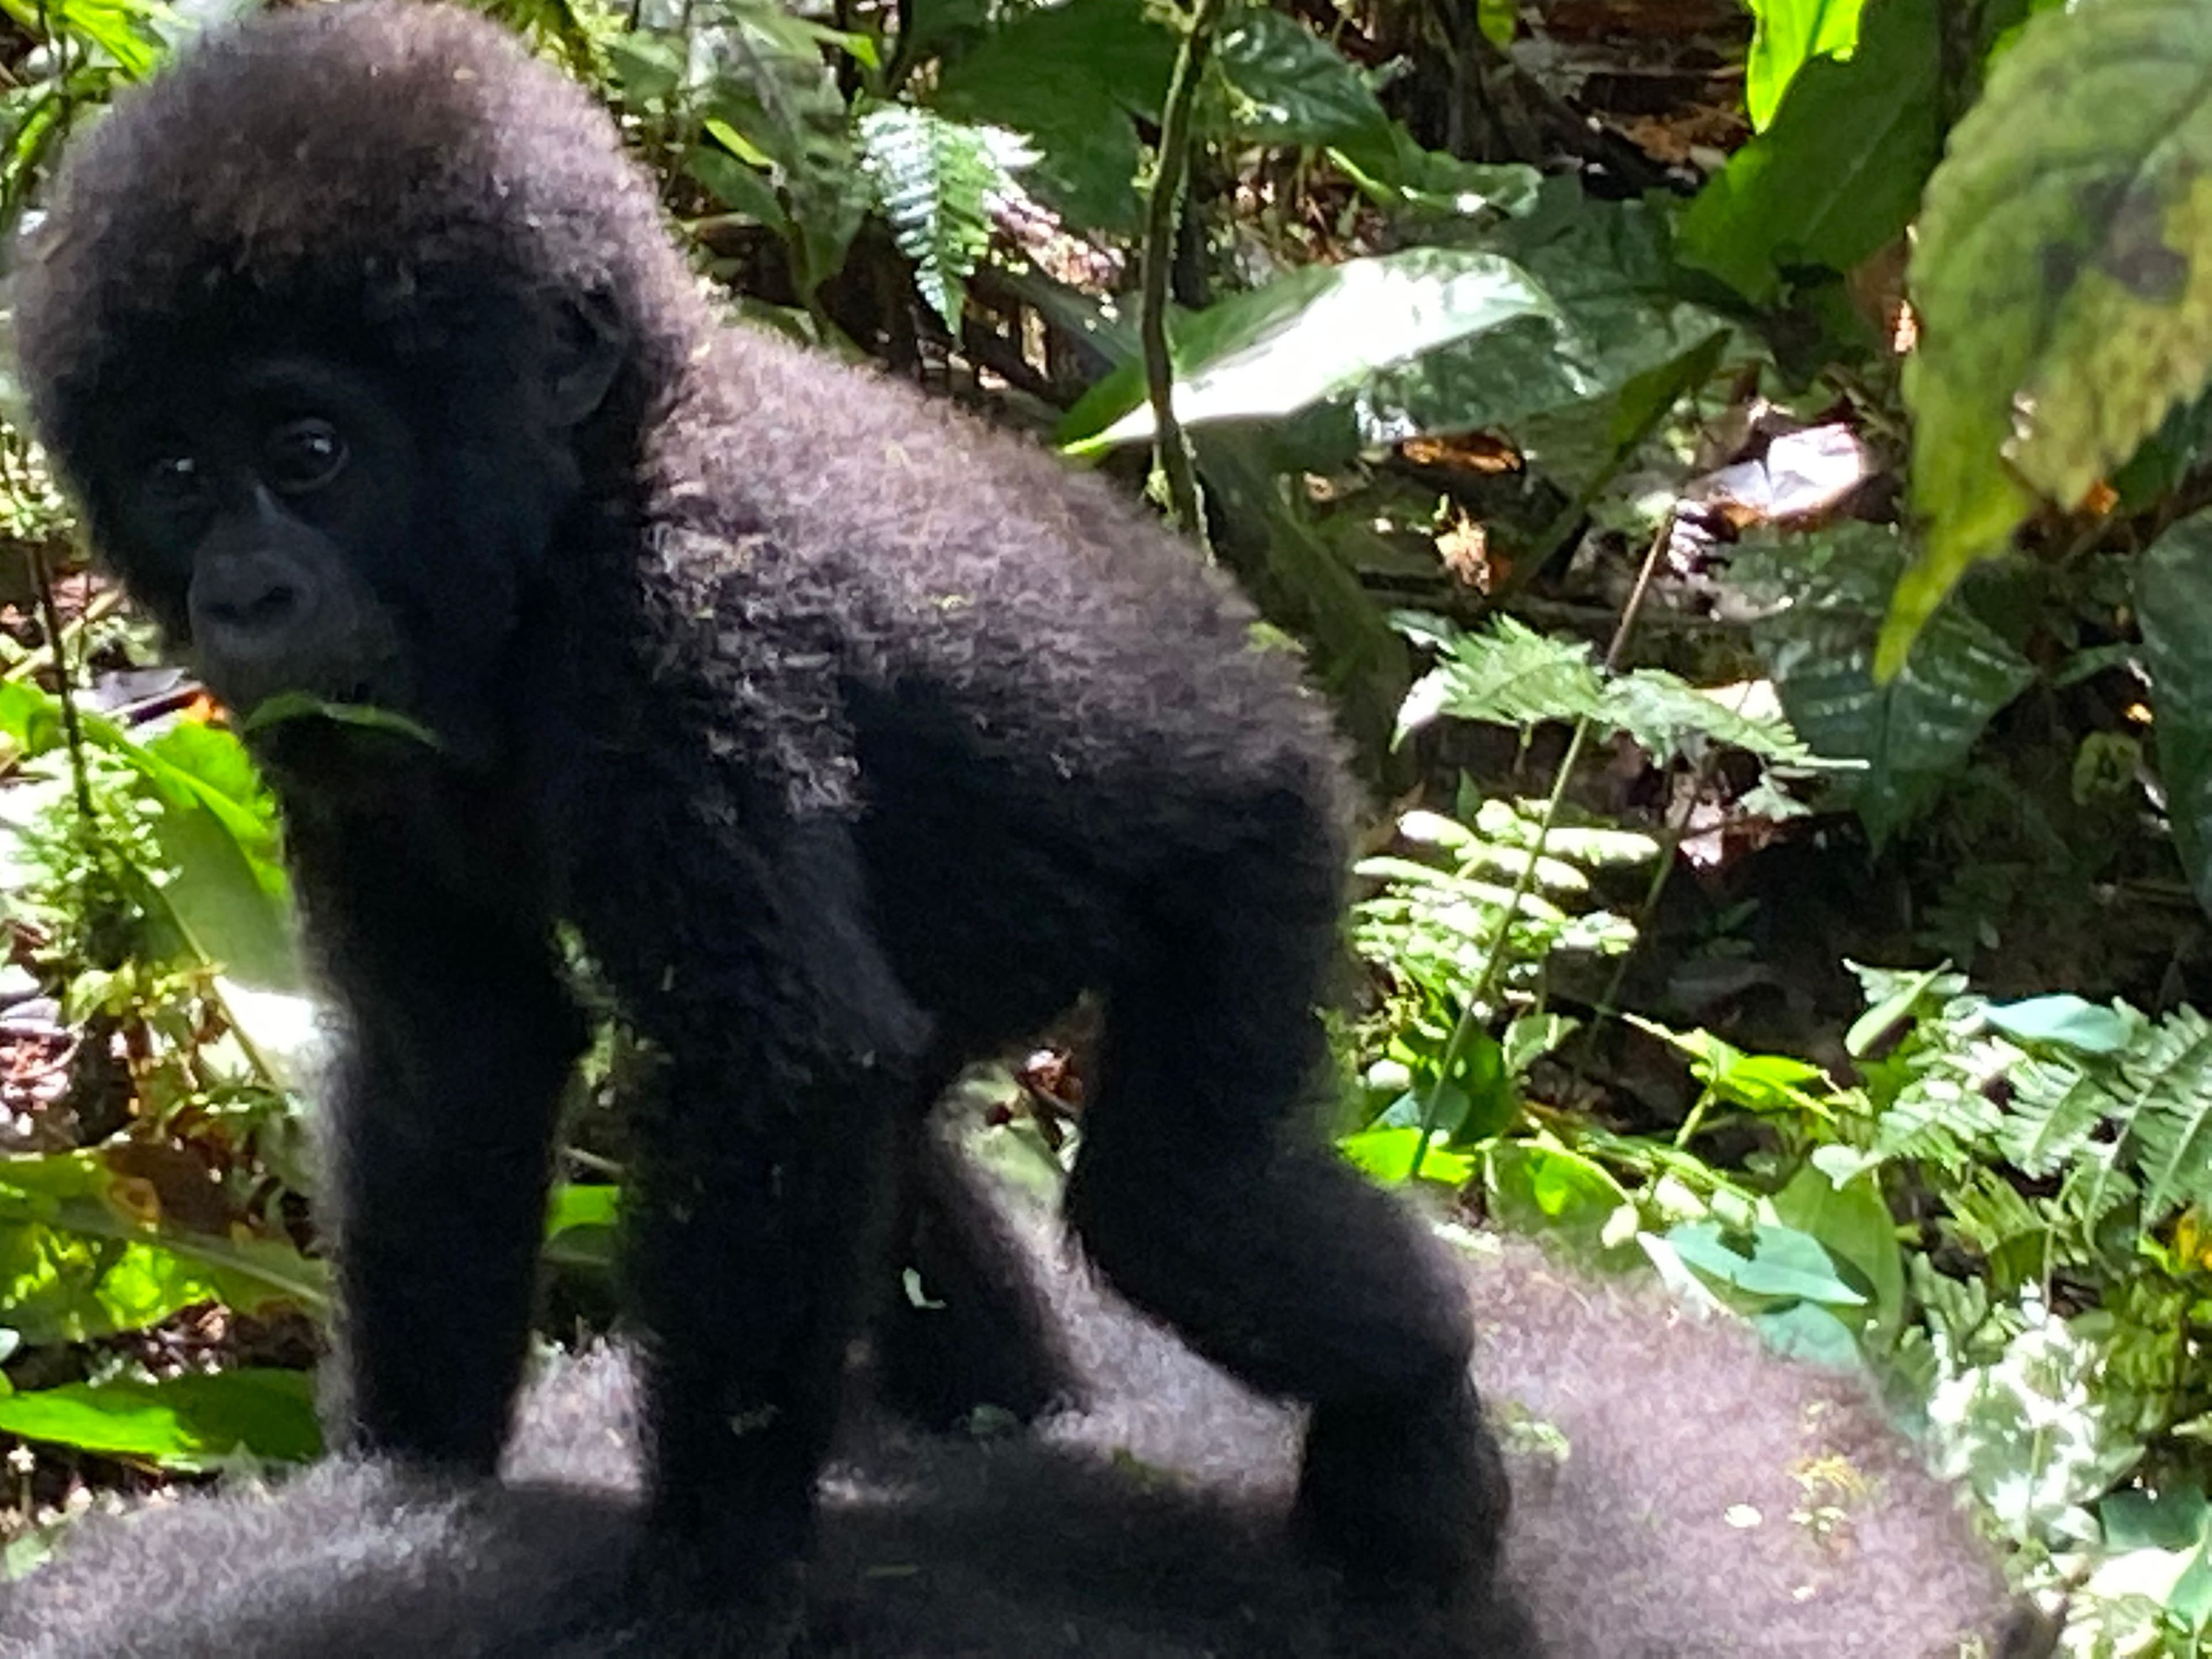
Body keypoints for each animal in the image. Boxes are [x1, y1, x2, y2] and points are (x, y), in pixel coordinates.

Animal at [9, 0, 1501, 1626]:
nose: (242, 598)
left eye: (308, 455)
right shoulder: (339, 737)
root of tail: (1280, 680)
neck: (589, 483)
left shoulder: (675, 632)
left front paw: (705, 1578)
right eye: (176, 475)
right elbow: (458, 1062)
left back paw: (1417, 1424)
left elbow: (777, 1069)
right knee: (924, 1155)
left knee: (1178, 1201)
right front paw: (405, 1493)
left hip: (1265, 840)